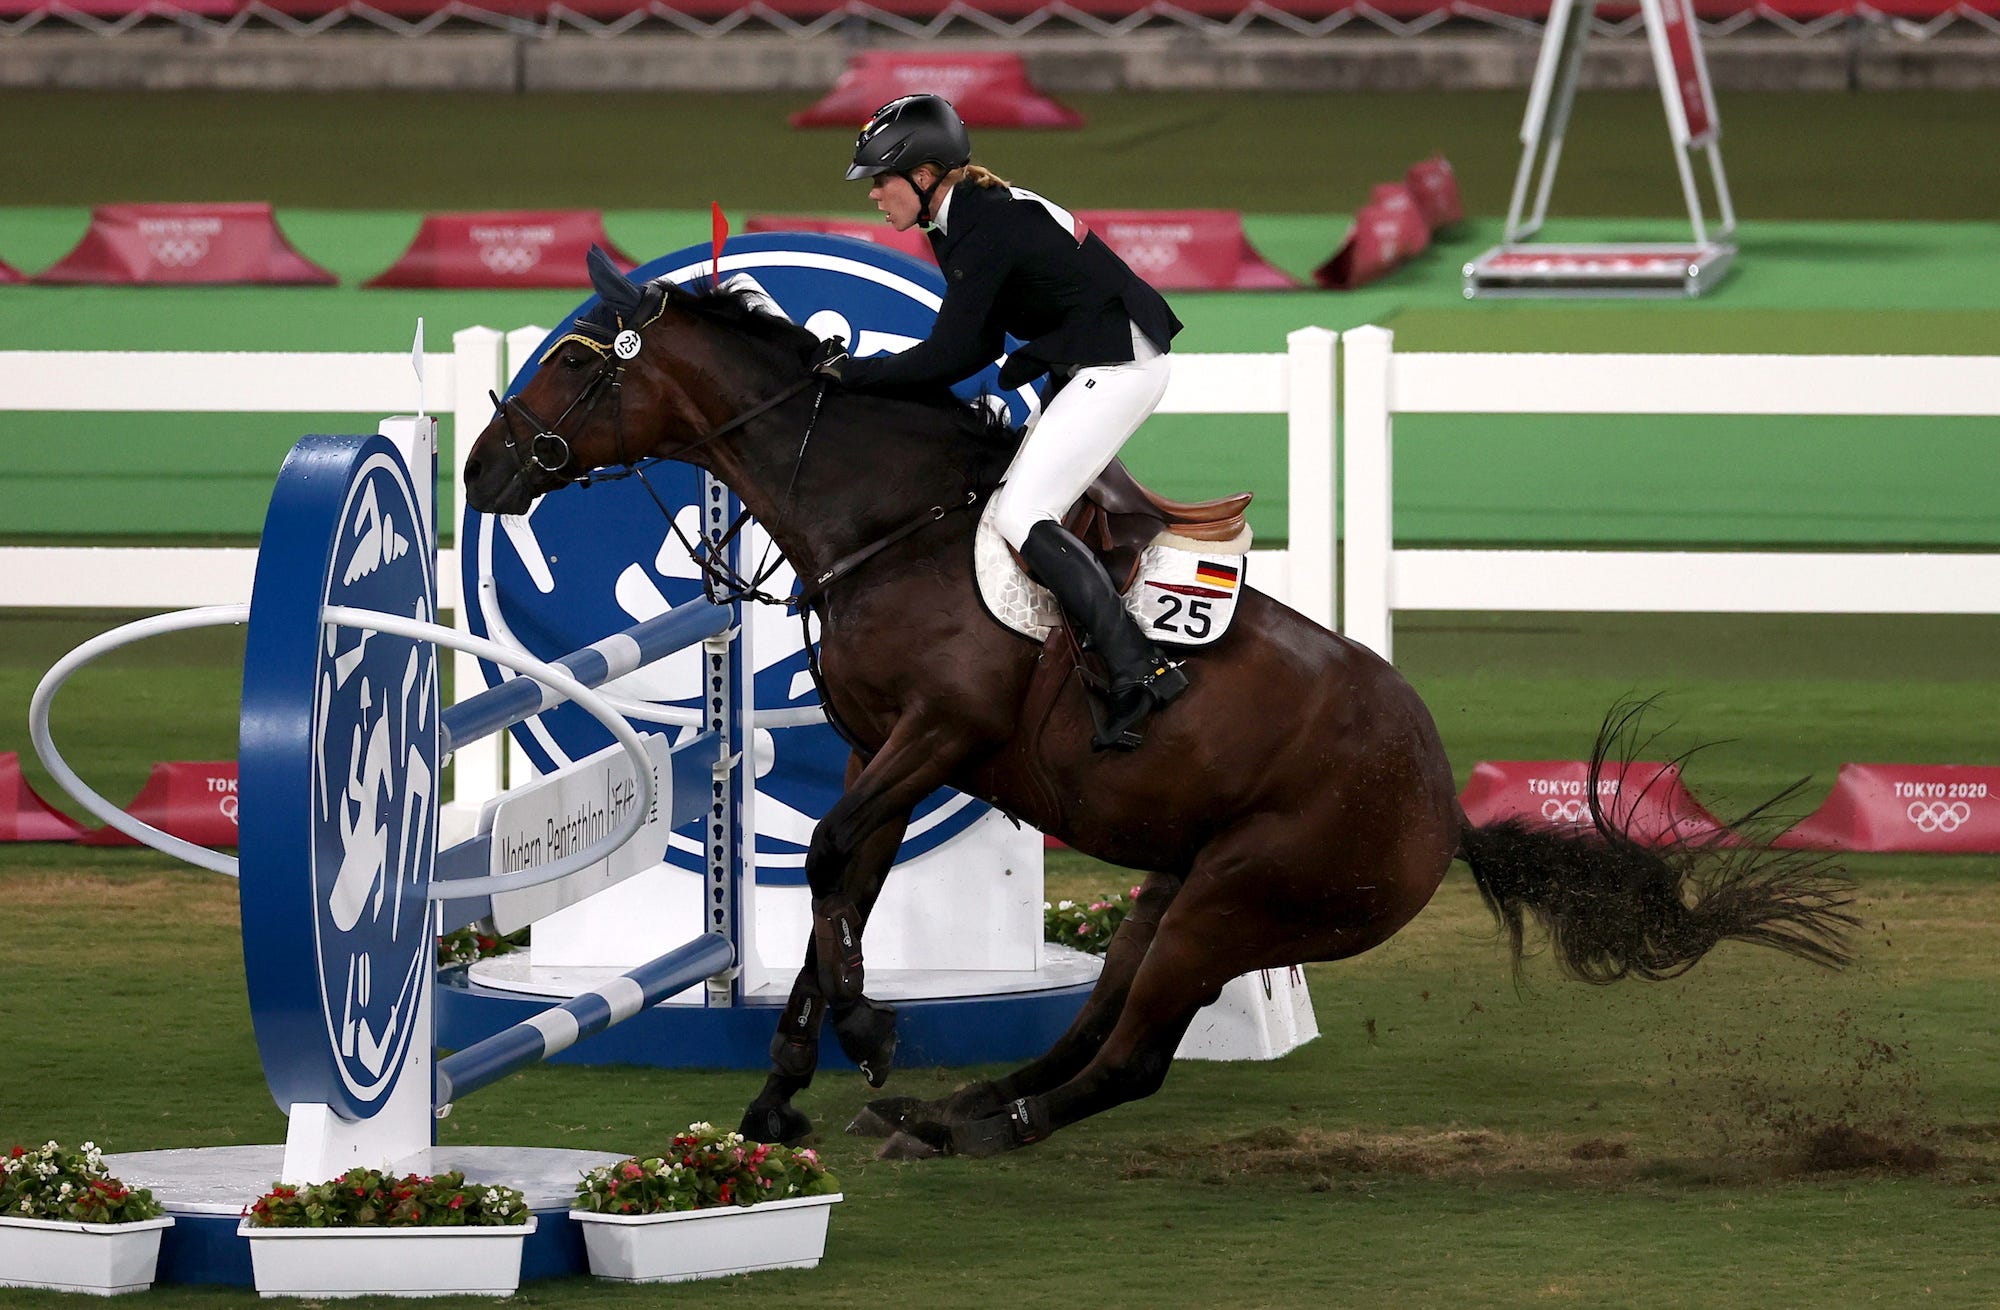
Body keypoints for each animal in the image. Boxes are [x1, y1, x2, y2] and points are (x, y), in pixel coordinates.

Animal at [460, 254, 1848, 1160]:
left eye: (575, 357)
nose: (480, 468)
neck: (884, 517)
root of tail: (1443, 810)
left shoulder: (937, 733)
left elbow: (830, 857)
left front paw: (858, 1030)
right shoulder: (881, 748)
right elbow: (841, 873)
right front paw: (787, 1084)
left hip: (1238, 899)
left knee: (1129, 1057)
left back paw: (982, 1127)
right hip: (1170, 890)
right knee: (1092, 1025)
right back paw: (954, 1106)